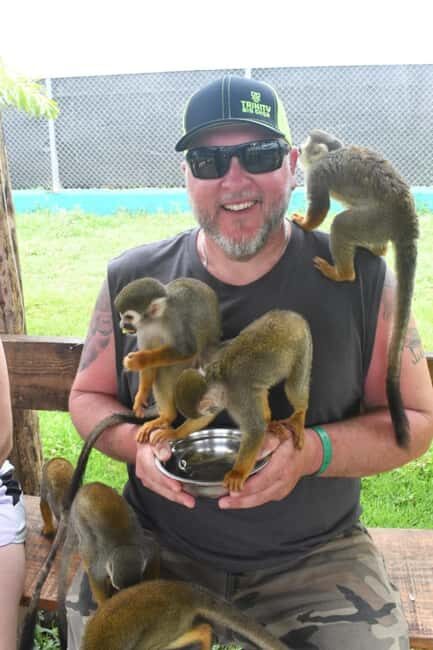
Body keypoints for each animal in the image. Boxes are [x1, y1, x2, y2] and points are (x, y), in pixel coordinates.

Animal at [56, 482, 160, 649]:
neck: (124, 546)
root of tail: (87, 487)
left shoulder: (146, 550)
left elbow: (155, 549)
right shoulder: (103, 562)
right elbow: (95, 576)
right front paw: (106, 606)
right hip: (79, 519)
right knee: (88, 545)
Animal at [114, 276, 222, 443]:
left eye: (129, 317)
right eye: (121, 316)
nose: (121, 325)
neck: (154, 321)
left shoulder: (175, 321)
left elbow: (185, 350)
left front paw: (140, 360)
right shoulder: (143, 330)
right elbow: (150, 367)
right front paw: (141, 396)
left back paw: (176, 432)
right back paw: (166, 417)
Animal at [152, 309, 313, 492]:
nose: (212, 408)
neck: (221, 381)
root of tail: (291, 315)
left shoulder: (239, 396)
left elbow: (255, 429)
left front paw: (238, 473)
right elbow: (205, 420)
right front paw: (173, 433)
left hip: (303, 345)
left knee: (294, 385)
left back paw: (299, 414)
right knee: (260, 390)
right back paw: (269, 422)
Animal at [292, 129, 419, 448]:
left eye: (305, 147)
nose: (296, 148)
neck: (333, 152)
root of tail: (407, 214)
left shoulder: (318, 174)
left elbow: (321, 207)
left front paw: (305, 223)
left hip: (379, 217)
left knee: (341, 223)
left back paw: (343, 274)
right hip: (380, 223)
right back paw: (378, 249)